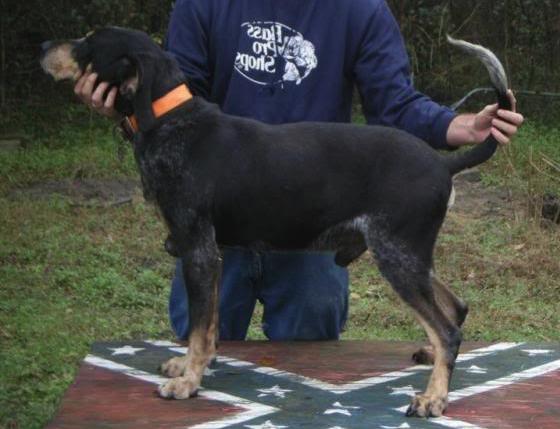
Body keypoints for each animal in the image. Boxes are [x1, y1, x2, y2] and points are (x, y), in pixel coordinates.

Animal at [39, 28, 512, 416]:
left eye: (87, 43)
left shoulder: (197, 249)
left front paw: (189, 382)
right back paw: (433, 361)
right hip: (409, 256)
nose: (43, 48)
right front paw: (194, 365)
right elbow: (208, 326)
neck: (172, 120)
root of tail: (443, 163)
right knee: (456, 309)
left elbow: (198, 327)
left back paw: (434, 398)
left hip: (397, 256)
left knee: (448, 331)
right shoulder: (212, 254)